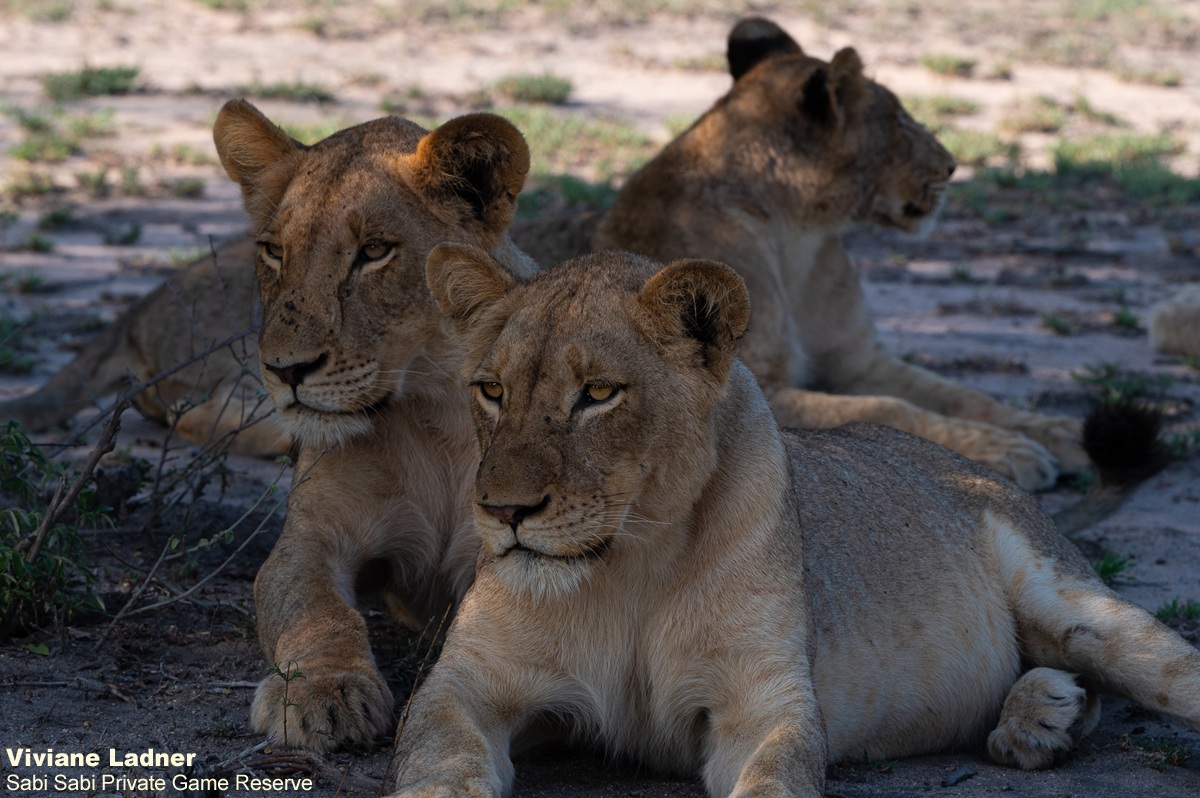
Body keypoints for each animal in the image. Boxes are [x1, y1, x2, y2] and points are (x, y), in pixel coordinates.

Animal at [209, 99, 538, 751]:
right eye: (274, 251)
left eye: (375, 252)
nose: (285, 369)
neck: (430, 411)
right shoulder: (311, 537)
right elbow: (315, 610)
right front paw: (324, 691)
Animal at [388, 243, 1200, 797]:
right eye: (491, 390)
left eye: (597, 393)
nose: (504, 511)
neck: (629, 564)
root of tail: (968, 465)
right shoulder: (462, 688)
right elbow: (438, 767)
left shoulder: (763, 707)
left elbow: (774, 777)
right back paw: (1042, 714)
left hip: (1074, 605)